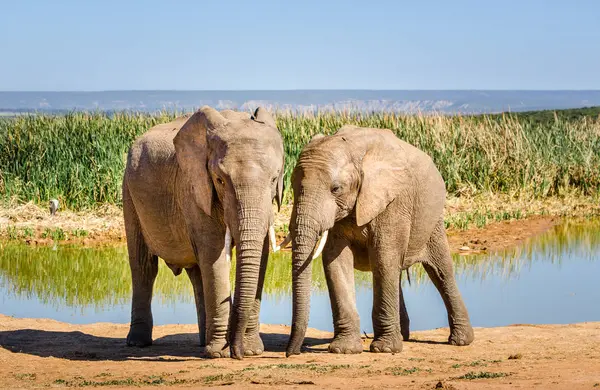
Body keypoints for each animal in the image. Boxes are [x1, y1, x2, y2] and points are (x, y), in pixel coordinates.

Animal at [123, 105, 284, 358]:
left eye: (274, 179)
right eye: (219, 180)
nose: (238, 353)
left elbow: (261, 256)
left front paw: (251, 351)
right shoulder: (195, 189)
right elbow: (214, 256)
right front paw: (220, 353)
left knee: (197, 271)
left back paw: (202, 342)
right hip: (128, 191)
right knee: (144, 266)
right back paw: (139, 343)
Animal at [284, 125, 474, 356]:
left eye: (335, 189)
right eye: (292, 186)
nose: (291, 353)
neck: (353, 149)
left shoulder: (394, 201)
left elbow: (383, 257)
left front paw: (384, 349)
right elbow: (335, 262)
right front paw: (344, 350)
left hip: (432, 220)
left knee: (441, 272)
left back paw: (460, 341)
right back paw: (404, 336)